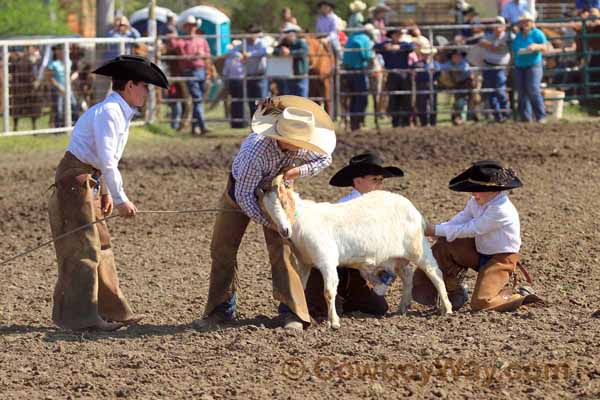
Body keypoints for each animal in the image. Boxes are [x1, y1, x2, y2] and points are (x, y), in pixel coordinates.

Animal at [260, 177, 452, 330]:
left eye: (283, 203)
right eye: (268, 209)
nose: (284, 231)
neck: (303, 221)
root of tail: (415, 211)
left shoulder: (327, 260)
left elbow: (329, 291)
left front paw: (334, 322)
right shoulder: (304, 262)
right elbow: (301, 287)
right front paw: (302, 316)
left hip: (418, 248)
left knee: (435, 273)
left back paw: (447, 308)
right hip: (396, 258)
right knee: (408, 276)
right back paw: (402, 307)